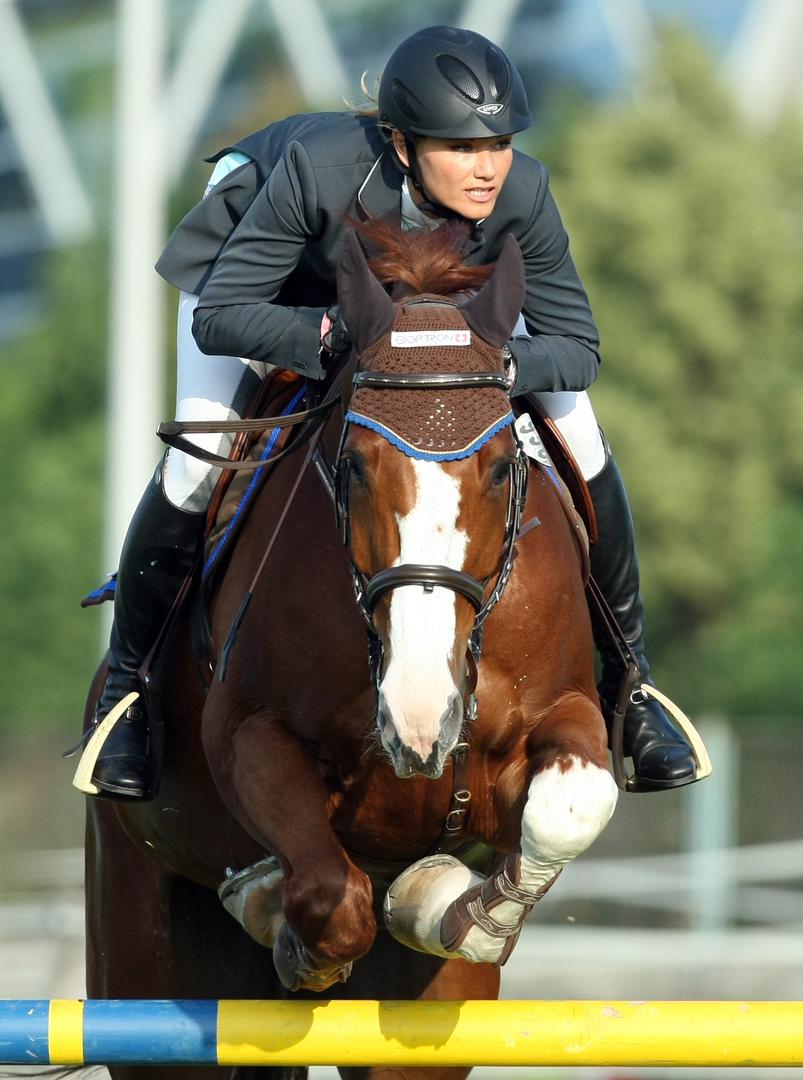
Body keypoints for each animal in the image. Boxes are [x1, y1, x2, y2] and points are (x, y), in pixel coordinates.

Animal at [83, 221, 618, 1080]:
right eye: (355, 467)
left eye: (502, 468)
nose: (419, 722)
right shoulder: (248, 736)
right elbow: (328, 898)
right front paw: (280, 912)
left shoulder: (557, 718)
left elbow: (569, 806)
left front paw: (451, 906)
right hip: (141, 959)